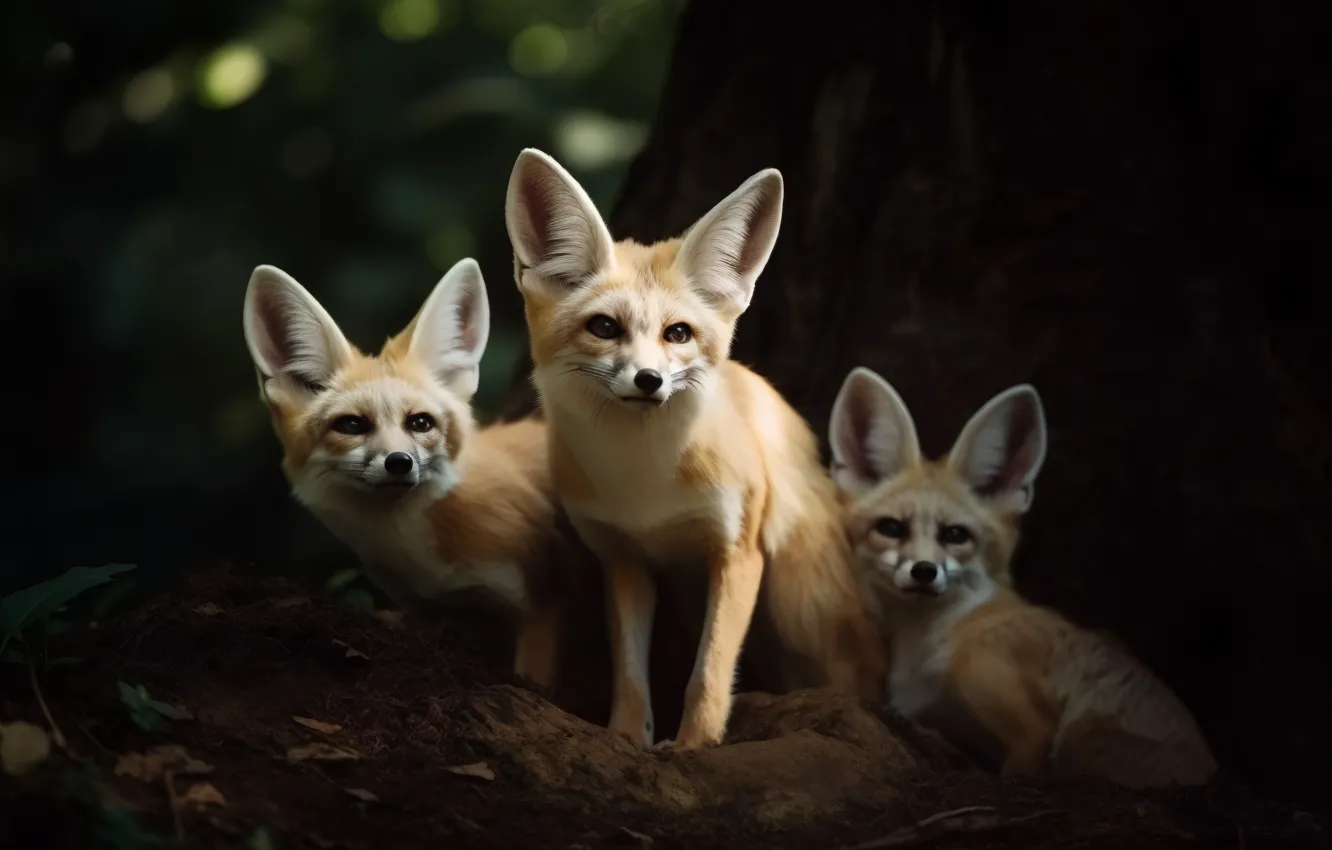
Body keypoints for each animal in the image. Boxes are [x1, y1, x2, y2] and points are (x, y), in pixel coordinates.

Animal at [242, 257, 581, 690]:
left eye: (420, 422)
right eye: (351, 425)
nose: (399, 461)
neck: (416, 554)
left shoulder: (547, 593)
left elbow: (537, 680)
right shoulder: (428, 610)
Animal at [503, 148, 885, 751]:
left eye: (677, 334)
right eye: (604, 327)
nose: (649, 380)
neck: (644, 482)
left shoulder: (736, 552)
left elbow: (709, 672)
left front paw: (694, 747)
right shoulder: (623, 560)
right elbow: (630, 675)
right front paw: (626, 737)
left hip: (798, 600)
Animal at [828, 366, 1218, 787]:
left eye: (955, 535)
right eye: (891, 528)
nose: (924, 571)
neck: (934, 642)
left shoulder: (1026, 724)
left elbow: (1017, 770)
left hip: (1073, 742)